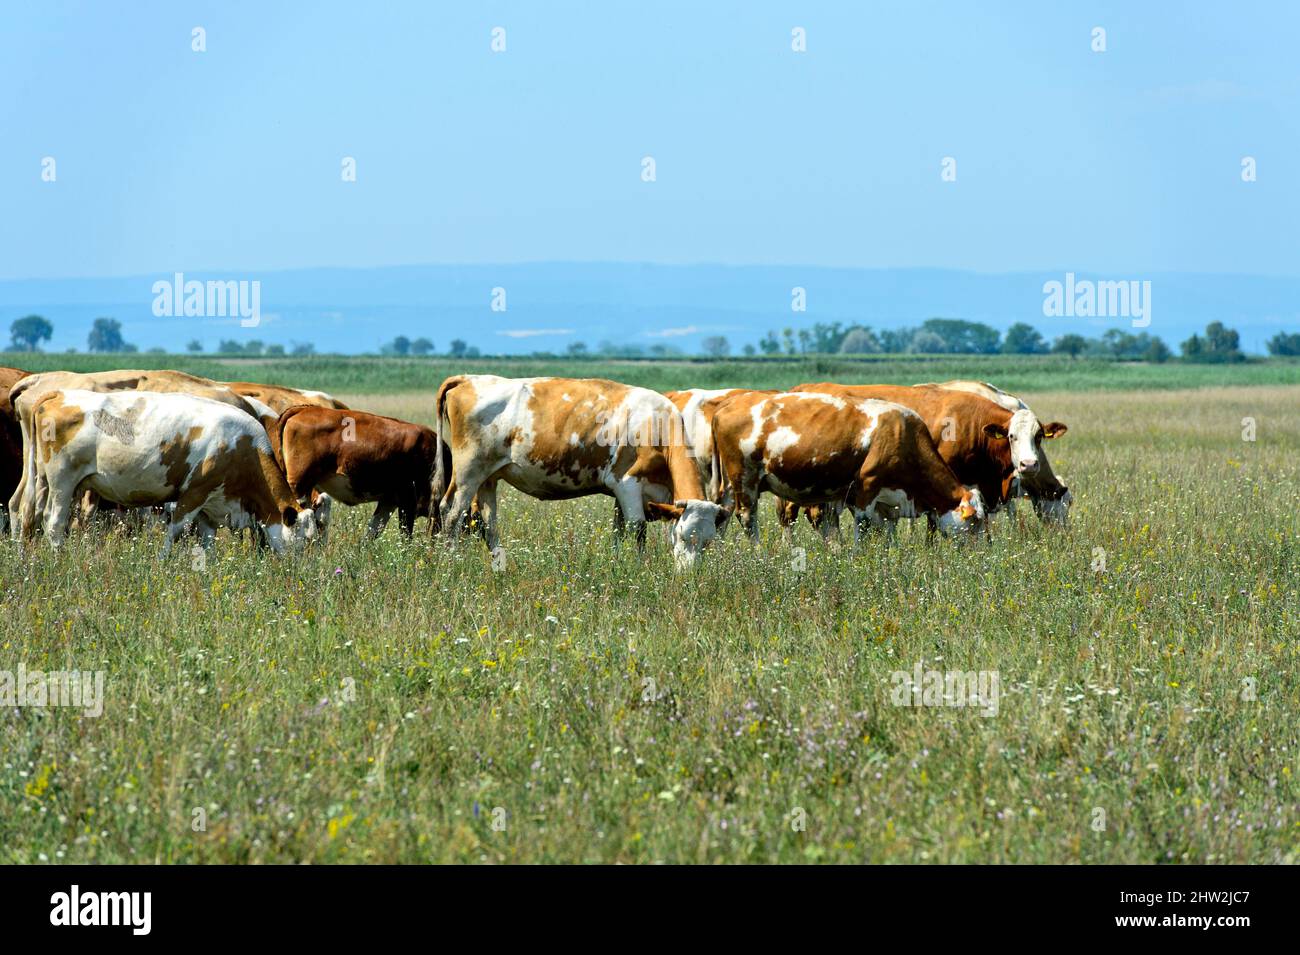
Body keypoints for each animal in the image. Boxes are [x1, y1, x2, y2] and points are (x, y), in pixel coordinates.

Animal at [30, 389, 314, 553]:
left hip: (43, 480)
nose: (298, 572)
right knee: (54, 523)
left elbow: (208, 543)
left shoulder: (211, 506)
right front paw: (162, 562)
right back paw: (59, 558)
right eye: (300, 541)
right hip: (63, 481)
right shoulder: (194, 494)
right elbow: (175, 532)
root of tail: (57, 395)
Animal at [275, 402, 436, 540]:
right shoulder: (409, 499)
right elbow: (408, 534)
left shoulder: (390, 500)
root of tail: (303, 409)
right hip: (298, 485)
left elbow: (373, 530)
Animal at [431, 374, 728, 566]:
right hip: (468, 471)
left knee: (487, 523)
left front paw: (617, 565)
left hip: (488, 476)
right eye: (681, 536)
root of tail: (467, 378)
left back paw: (498, 565)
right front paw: (639, 569)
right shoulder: (628, 483)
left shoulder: (622, 493)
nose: (689, 573)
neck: (657, 426)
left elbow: (618, 530)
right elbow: (637, 529)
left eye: (707, 542)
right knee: (452, 513)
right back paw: (451, 561)